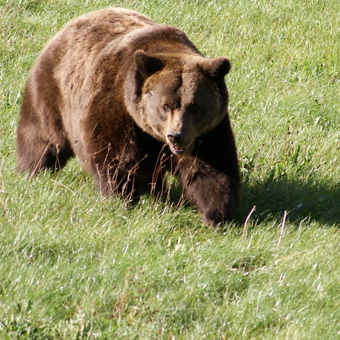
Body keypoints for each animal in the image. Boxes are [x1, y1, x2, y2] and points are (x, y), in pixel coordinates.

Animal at [15, 7, 239, 226]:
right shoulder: (116, 110)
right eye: (165, 105)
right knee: (42, 137)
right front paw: (121, 202)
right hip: (53, 93)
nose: (176, 136)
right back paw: (33, 171)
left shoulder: (208, 132)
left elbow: (211, 168)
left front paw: (217, 216)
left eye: (194, 106)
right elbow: (117, 161)